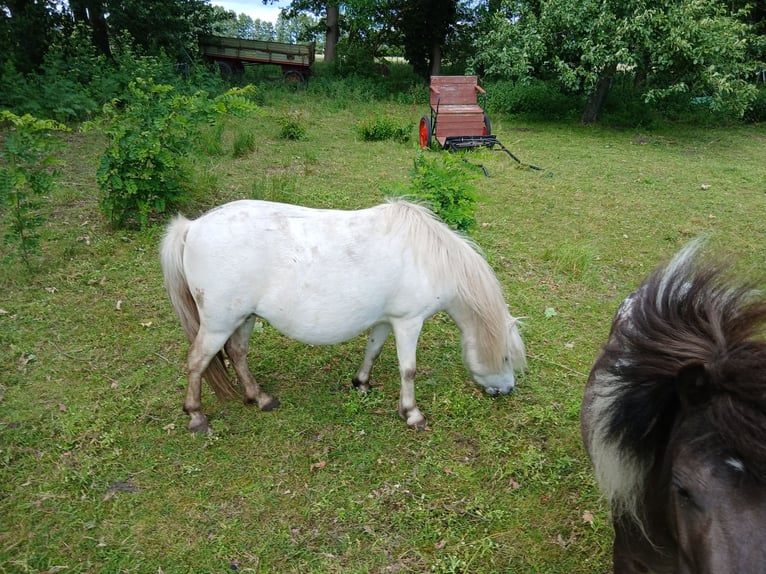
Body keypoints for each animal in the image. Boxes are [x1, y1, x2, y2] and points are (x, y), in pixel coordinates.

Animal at [160, 198, 526, 433]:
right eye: (506, 357)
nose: (508, 390)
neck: (428, 258)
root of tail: (191, 227)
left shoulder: (385, 320)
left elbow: (373, 351)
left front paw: (361, 384)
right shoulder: (408, 322)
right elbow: (408, 370)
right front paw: (412, 414)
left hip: (243, 317)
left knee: (237, 354)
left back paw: (260, 398)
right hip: (218, 324)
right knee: (197, 361)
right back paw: (197, 417)